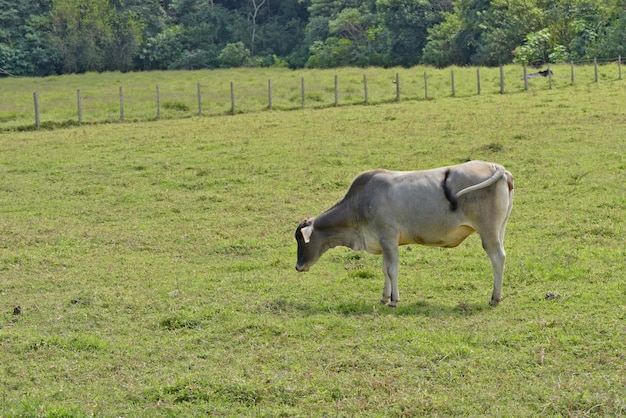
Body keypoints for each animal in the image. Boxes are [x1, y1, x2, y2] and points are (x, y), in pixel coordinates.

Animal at [294, 160, 516, 306]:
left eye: (302, 240)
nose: (298, 266)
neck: (359, 203)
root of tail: (497, 168)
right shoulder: (383, 242)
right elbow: (385, 269)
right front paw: (384, 297)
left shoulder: (388, 238)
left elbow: (392, 270)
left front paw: (394, 299)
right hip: (500, 230)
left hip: (488, 233)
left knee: (498, 258)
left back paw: (495, 297)